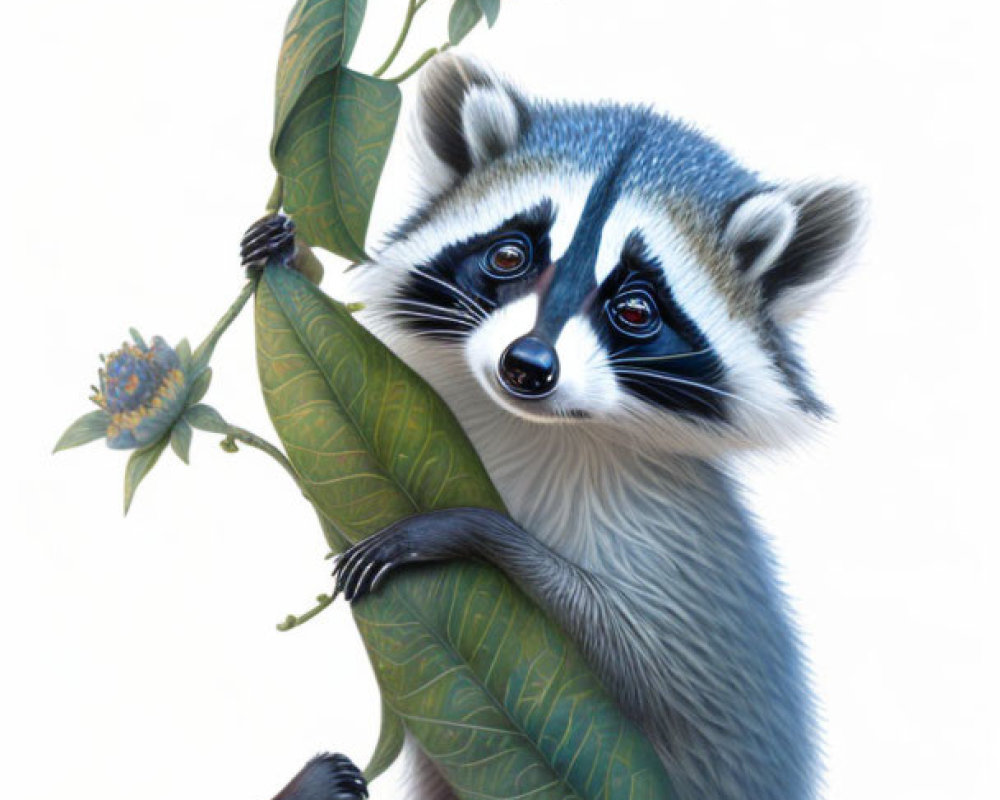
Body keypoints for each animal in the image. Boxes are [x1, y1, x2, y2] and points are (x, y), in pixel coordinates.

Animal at [262, 56, 864, 800]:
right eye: (509, 256)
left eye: (635, 308)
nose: (526, 366)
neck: (534, 423)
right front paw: (295, 258)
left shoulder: (678, 546)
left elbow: (649, 665)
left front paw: (469, 526)